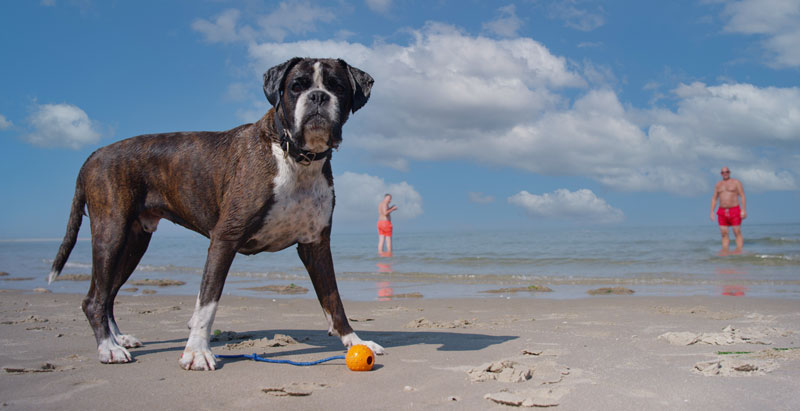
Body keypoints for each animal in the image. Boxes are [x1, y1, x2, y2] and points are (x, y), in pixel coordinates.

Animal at [47, 57, 384, 370]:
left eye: (337, 86)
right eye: (297, 86)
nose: (317, 97)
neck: (294, 155)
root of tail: (94, 155)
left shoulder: (316, 245)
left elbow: (333, 299)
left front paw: (354, 340)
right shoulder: (224, 239)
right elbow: (207, 301)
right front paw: (197, 351)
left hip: (133, 243)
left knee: (108, 294)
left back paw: (118, 338)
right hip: (111, 233)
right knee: (94, 299)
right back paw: (108, 347)